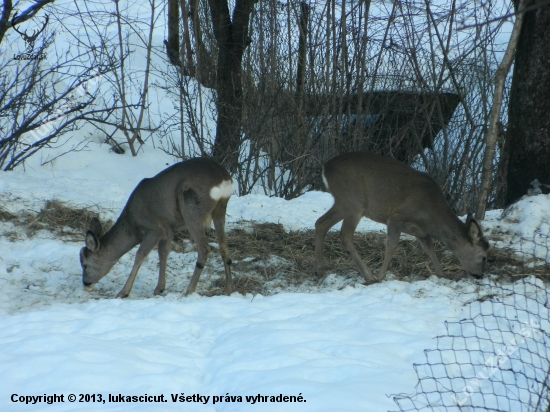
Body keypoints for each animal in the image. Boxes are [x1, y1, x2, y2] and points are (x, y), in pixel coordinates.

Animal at [80, 157, 235, 296]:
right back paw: (228, 290)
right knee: (224, 247)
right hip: (220, 209)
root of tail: (224, 179)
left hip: (192, 209)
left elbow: (140, 255)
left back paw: (189, 290)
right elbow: (163, 253)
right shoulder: (168, 228)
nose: (85, 283)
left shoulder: (154, 228)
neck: (132, 224)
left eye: (85, 264)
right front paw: (159, 288)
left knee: (204, 249)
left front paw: (123, 292)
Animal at [314, 152, 492, 284]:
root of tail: (325, 167)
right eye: (483, 257)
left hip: (343, 202)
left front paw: (441, 274)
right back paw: (369, 275)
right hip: (354, 202)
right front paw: (381, 276)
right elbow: (392, 245)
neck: (430, 215)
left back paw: (320, 270)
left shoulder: (419, 231)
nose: (479, 275)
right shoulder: (396, 216)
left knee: (320, 223)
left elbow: (429, 248)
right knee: (344, 235)